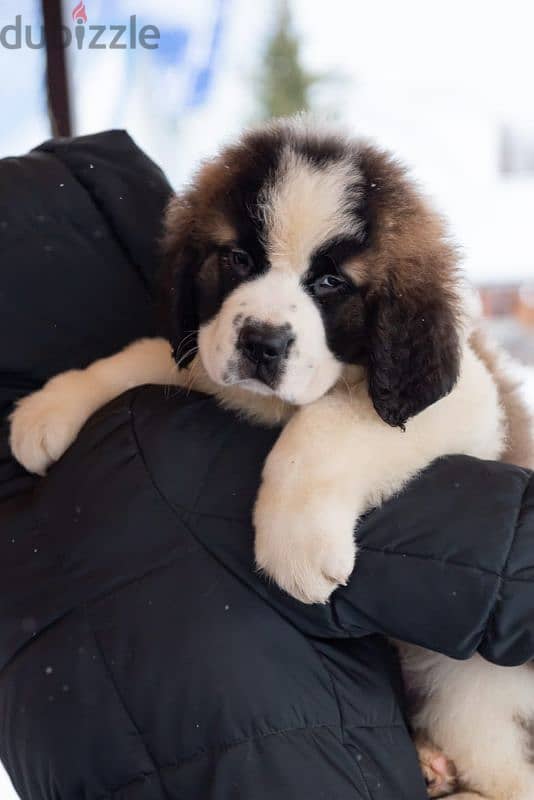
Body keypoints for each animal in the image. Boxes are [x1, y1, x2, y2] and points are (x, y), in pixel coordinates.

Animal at [9, 115, 534, 796]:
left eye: (331, 283)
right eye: (237, 259)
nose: (261, 342)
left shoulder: (465, 405)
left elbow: (330, 421)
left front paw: (296, 542)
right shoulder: (209, 358)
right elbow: (148, 356)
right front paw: (53, 406)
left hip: (467, 686)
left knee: (502, 768)